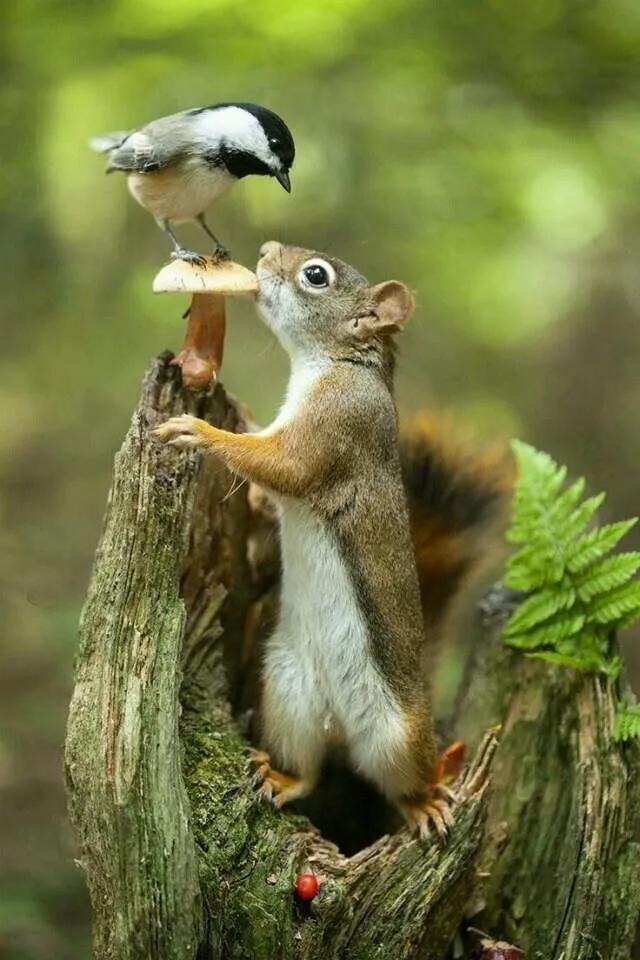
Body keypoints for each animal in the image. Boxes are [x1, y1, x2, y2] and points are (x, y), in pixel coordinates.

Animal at [156, 242, 516, 840]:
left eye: (316, 275)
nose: (264, 253)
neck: (336, 364)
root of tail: (341, 726)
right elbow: (268, 486)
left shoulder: (336, 426)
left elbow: (281, 466)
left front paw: (200, 432)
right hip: (287, 694)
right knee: (310, 770)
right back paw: (281, 777)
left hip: (398, 734)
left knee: (401, 781)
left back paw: (425, 803)